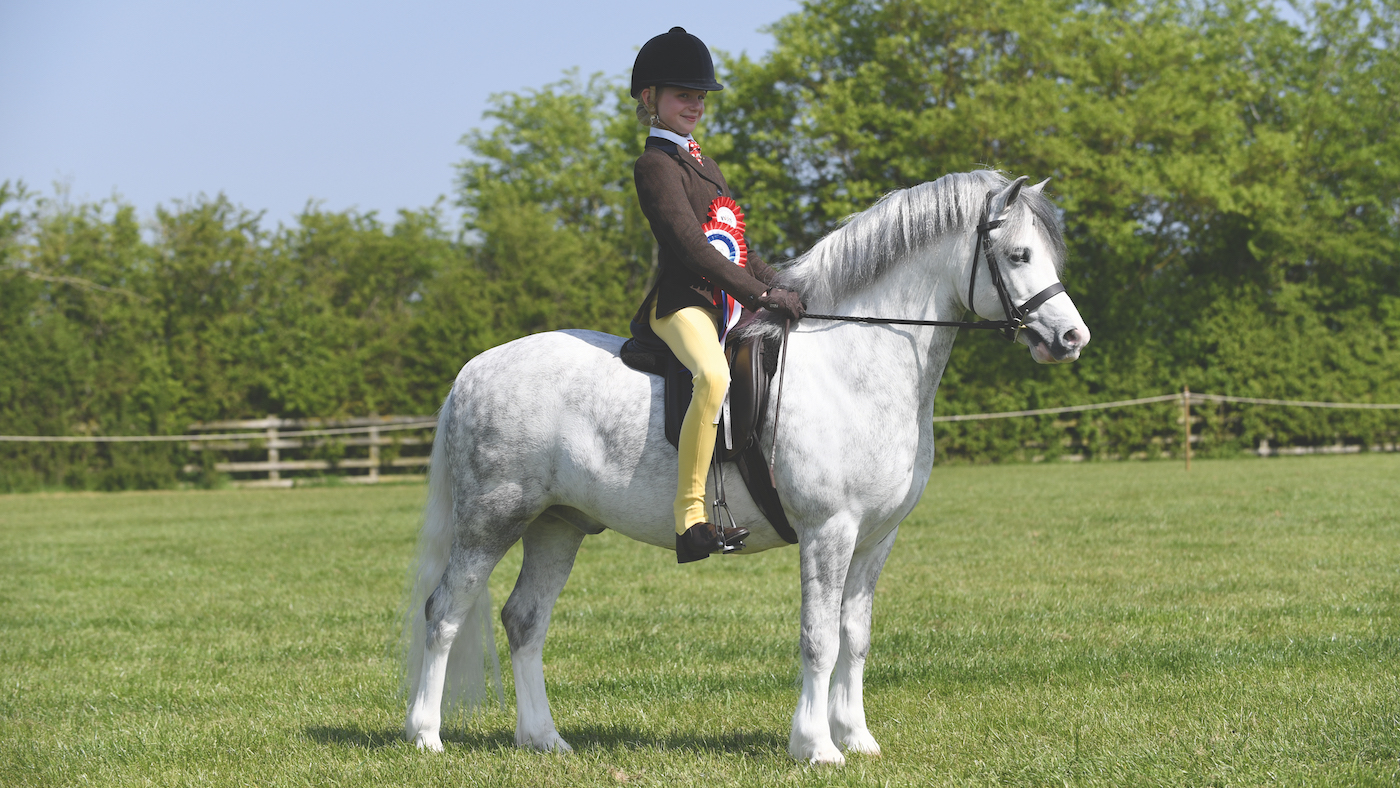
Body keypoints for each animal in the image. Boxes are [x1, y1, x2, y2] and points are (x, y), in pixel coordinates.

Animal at [402, 171, 1090, 765]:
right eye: (1020, 256)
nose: (1071, 339)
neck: (856, 363)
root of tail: (474, 371)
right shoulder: (829, 531)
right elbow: (820, 637)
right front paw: (816, 747)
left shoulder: (876, 538)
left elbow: (857, 635)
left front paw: (858, 737)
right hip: (492, 520)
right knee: (445, 612)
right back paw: (426, 736)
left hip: (558, 525)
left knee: (524, 620)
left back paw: (543, 739)